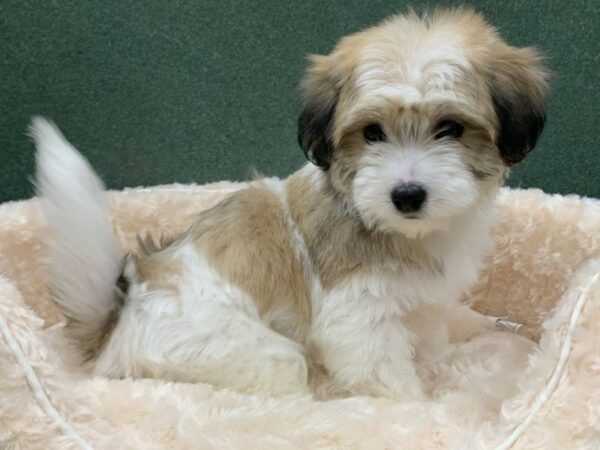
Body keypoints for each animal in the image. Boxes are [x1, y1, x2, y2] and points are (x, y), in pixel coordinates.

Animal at [32, 8, 548, 400]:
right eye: (372, 133)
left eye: (450, 128)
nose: (406, 194)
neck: (398, 230)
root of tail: (118, 323)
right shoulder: (359, 320)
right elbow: (386, 376)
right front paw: (418, 409)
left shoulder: (425, 303)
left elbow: (432, 338)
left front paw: (443, 365)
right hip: (254, 358)